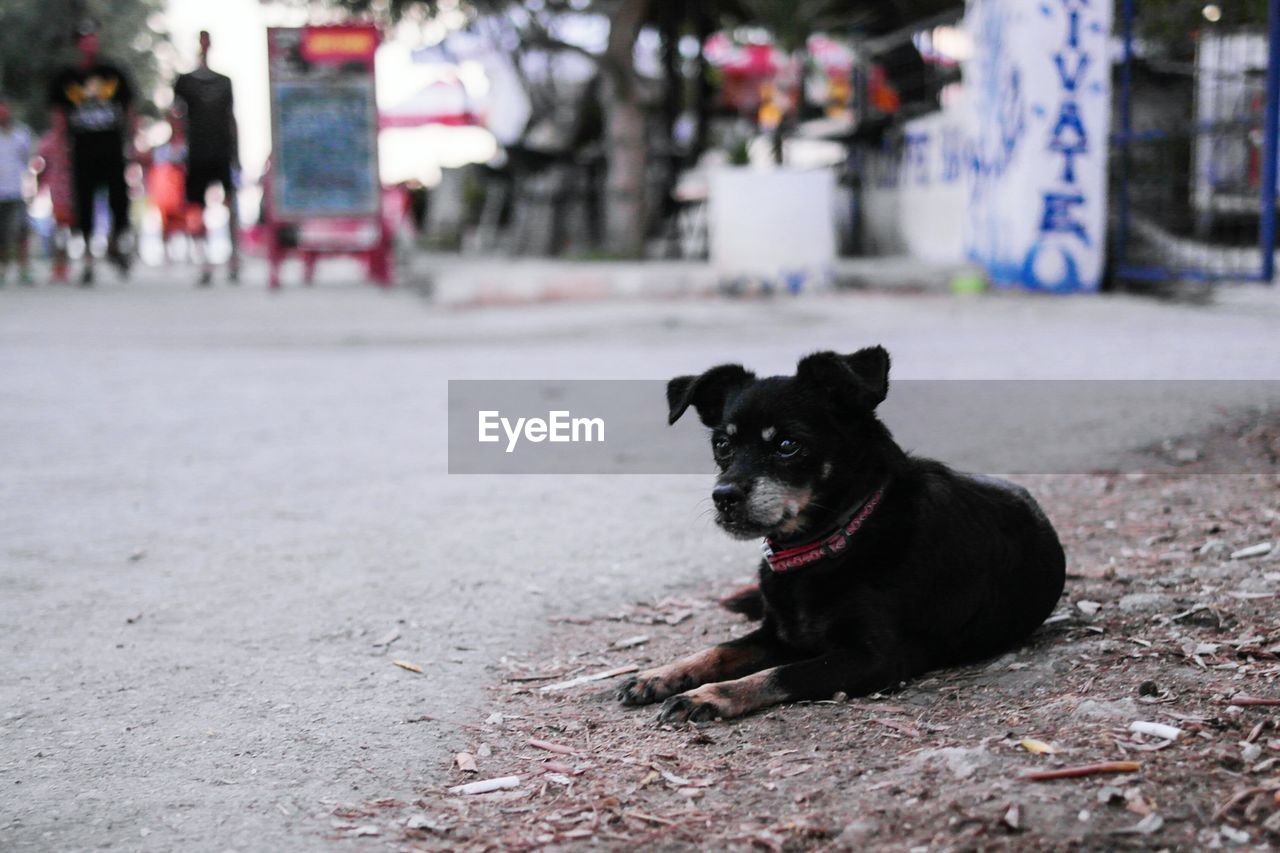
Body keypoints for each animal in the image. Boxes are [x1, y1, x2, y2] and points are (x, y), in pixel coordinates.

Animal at [614, 345, 1064, 717]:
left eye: (788, 445)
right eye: (722, 445)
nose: (723, 496)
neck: (836, 541)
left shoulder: (876, 658)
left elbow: (779, 675)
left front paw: (708, 695)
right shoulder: (779, 635)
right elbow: (719, 651)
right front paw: (661, 674)